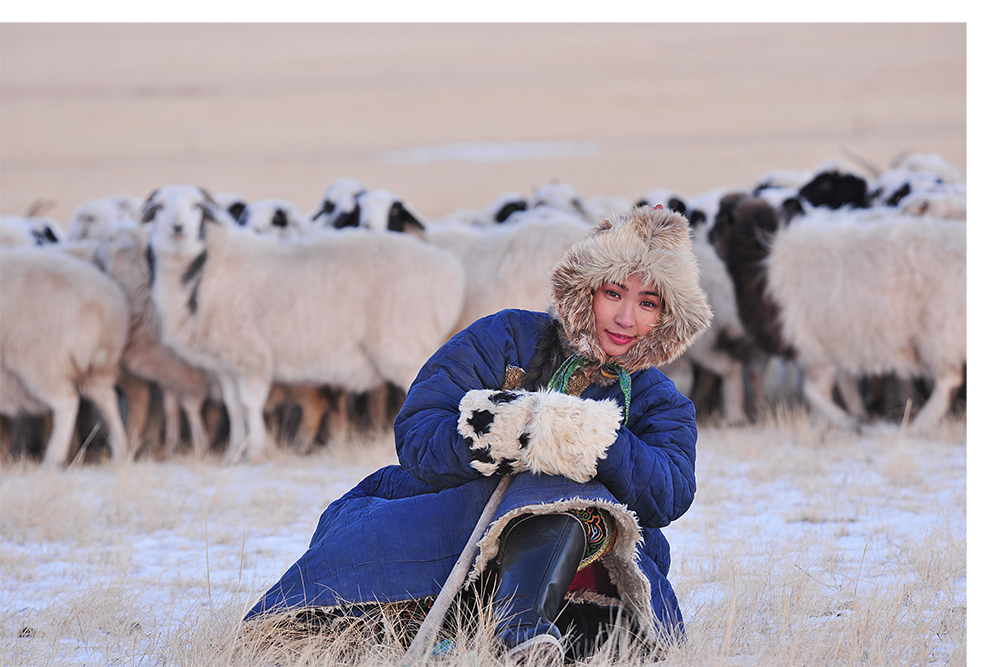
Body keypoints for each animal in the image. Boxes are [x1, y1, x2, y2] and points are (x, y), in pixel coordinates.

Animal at [0, 244, 132, 464]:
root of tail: (104, 307)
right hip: (97, 368)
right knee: (107, 400)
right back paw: (120, 452)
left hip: (40, 360)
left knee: (67, 402)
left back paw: (53, 460)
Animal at [144, 185, 464, 462]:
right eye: (159, 207)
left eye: (197, 206)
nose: (178, 229)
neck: (207, 266)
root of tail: (449, 269)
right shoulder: (225, 362)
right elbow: (233, 408)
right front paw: (233, 452)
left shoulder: (250, 356)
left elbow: (249, 405)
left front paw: (256, 451)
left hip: (402, 344)